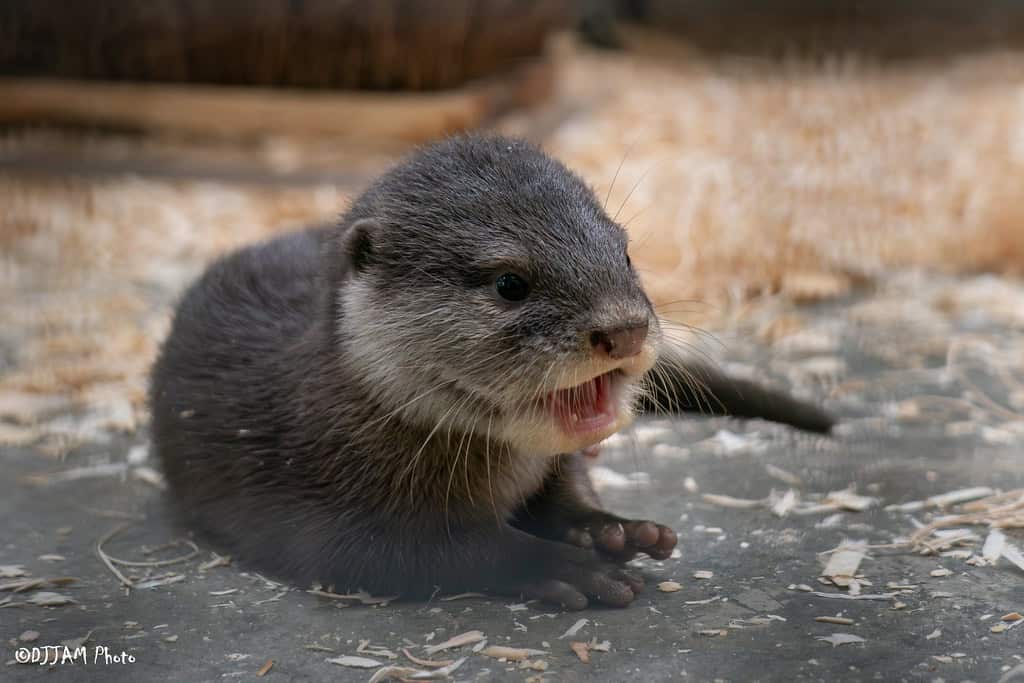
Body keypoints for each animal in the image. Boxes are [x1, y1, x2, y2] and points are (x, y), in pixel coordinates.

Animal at [151, 135, 832, 609]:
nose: (625, 329)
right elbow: (435, 552)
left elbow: (566, 482)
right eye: (510, 283)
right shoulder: (327, 505)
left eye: (625, 252)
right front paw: (558, 565)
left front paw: (612, 529)